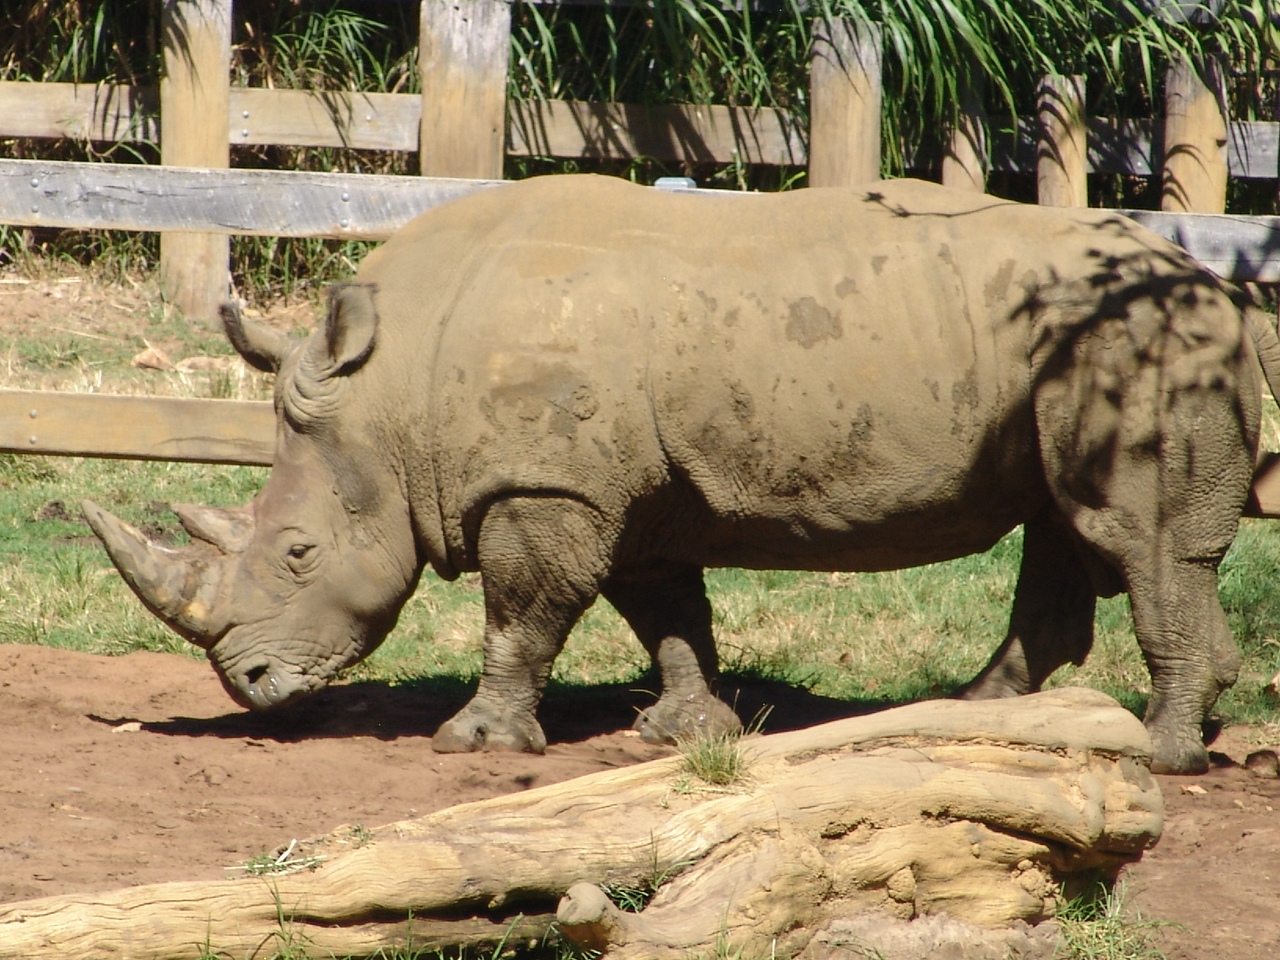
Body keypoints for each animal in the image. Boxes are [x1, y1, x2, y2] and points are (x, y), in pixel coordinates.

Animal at [84, 175, 1280, 774]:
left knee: (1133, 534)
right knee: (1066, 523)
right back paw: (974, 721)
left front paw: (474, 741)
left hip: (1142, 344)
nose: (249, 688)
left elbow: (524, 614)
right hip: (1081, 346)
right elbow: (661, 607)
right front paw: (687, 733)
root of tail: (1217, 285)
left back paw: (1158, 757)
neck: (393, 393)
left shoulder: (544, 484)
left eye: (298, 552)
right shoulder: (621, 486)